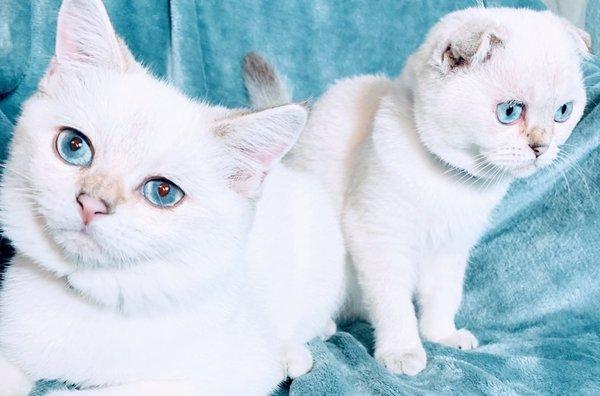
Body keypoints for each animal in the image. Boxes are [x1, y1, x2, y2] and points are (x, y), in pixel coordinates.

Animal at [0, 0, 344, 392]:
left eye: (163, 192)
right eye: (74, 146)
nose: (91, 204)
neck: (93, 294)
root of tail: (287, 168)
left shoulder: (232, 375)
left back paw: (297, 351)